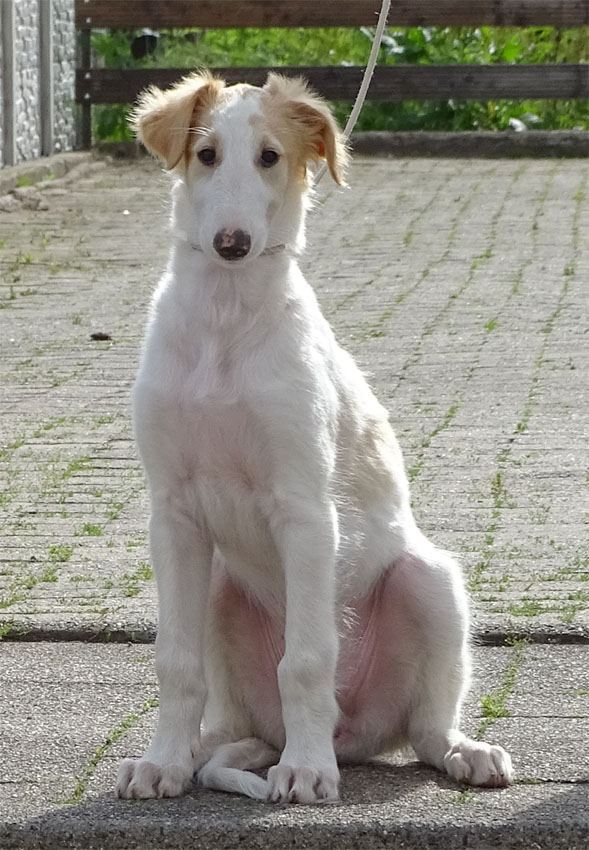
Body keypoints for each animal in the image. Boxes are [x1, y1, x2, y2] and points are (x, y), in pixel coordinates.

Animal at [116, 72, 513, 803]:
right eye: (207, 154)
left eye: (270, 157)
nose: (232, 243)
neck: (224, 326)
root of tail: (351, 735)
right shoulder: (173, 515)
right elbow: (174, 662)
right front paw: (160, 761)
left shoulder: (304, 511)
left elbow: (304, 659)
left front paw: (304, 771)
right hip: (218, 591)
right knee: (229, 724)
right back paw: (204, 754)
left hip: (429, 583)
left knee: (425, 729)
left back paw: (450, 751)